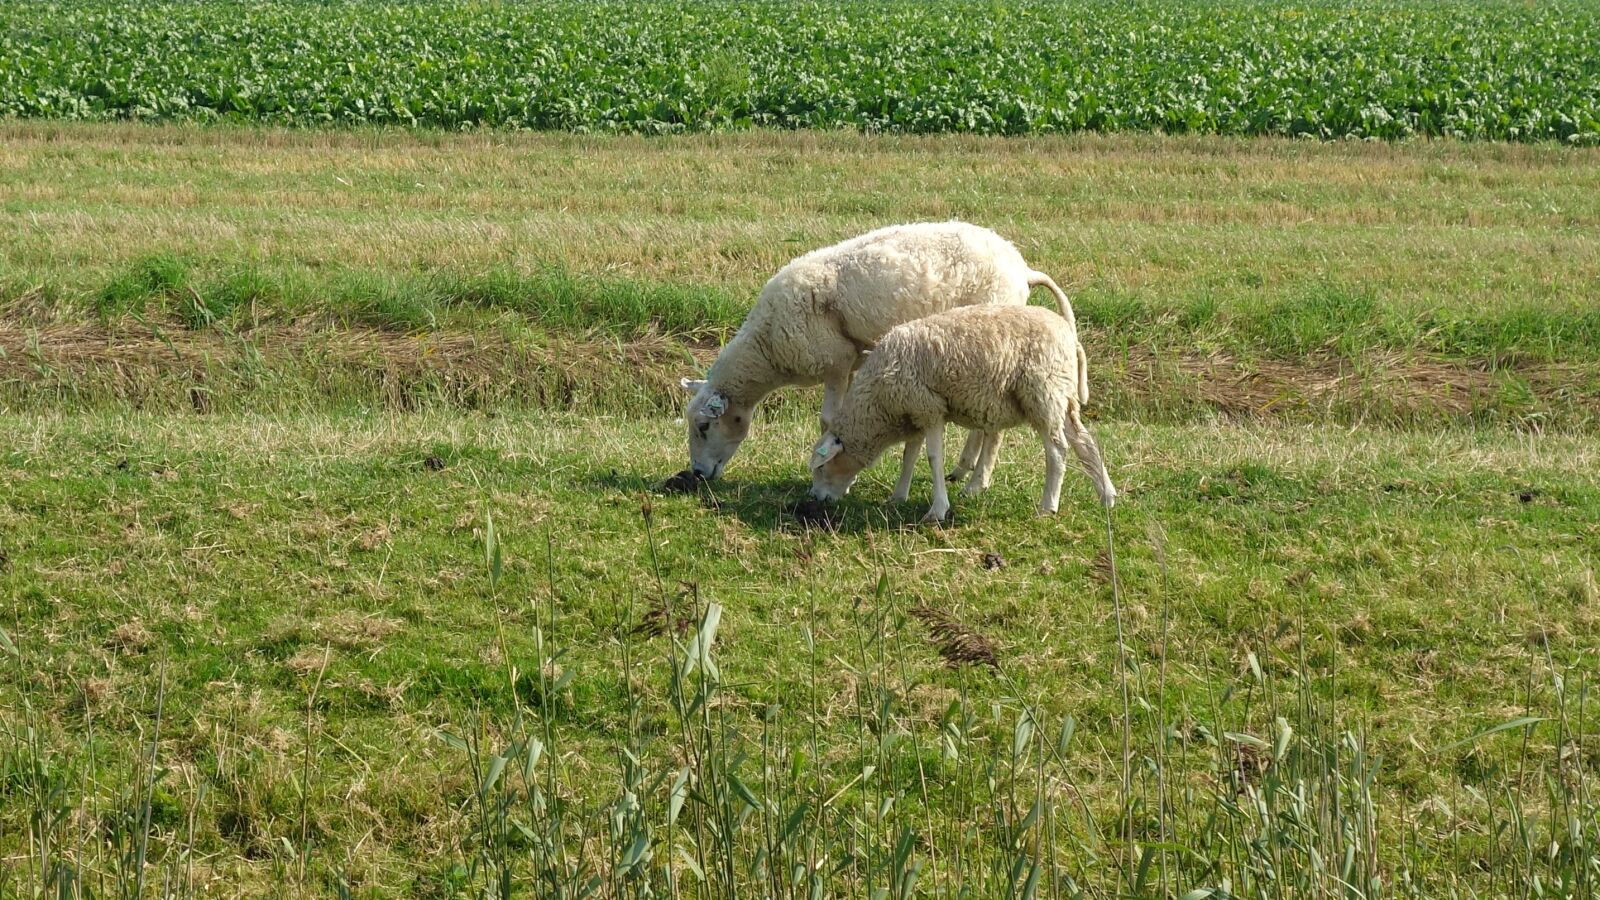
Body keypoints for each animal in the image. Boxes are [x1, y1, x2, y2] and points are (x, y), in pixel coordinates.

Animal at [679, 221, 1080, 486]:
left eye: (704, 426)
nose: (698, 474)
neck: (767, 345)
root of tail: (1023, 268)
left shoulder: (836, 362)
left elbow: (828, 418)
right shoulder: (852, 363)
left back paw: (975, 477)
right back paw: (962, 468)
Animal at [808, 304, 1116, 523]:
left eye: (821, 467)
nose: (815, 499)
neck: (879, 407)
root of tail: (1070, 337)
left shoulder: (929, 407)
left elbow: (933, 458)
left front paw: (937, 510)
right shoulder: (916, 410)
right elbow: (910, 455)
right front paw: (898, 496)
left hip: (1042, 393)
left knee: (1057, 451)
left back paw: (1048, 506)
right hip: (1062, 396)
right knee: (1085, 442)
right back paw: (1107, 496)